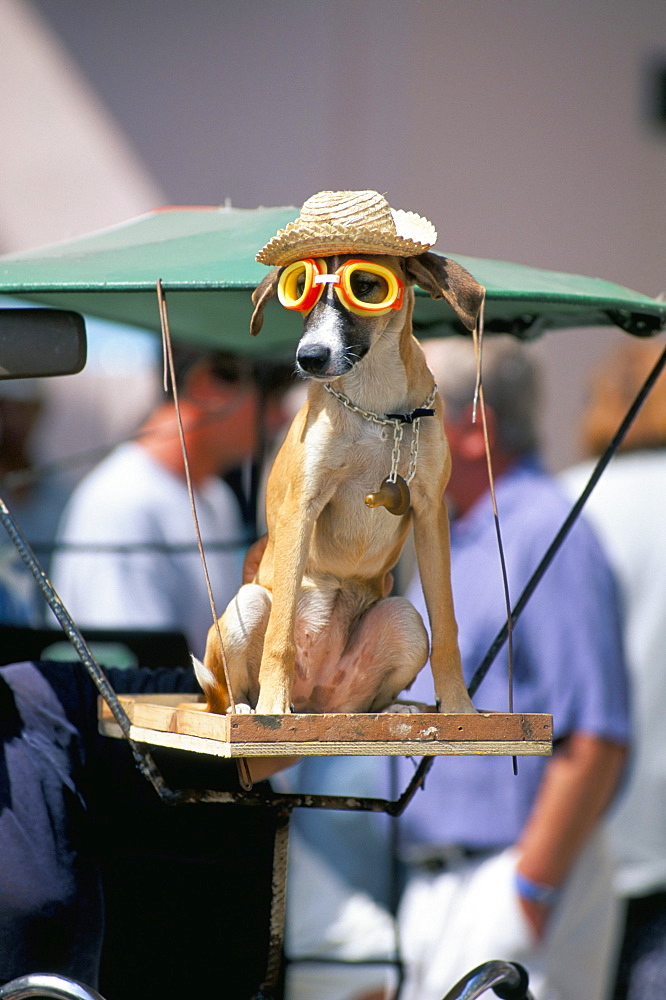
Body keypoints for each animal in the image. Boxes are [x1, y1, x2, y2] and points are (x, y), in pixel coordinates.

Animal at [192, 191, 482, 716]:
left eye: (365, 285)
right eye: (299, 288)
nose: (309, 358)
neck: (377, 409)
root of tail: (316, 700)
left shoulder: (431, 511)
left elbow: (448, 626)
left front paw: (459, 710)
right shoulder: (301, 506)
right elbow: (282, 633)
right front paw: (271, 711)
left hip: (404, 619)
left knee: (370, 698)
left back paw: (390, 709)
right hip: (246, 605)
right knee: (224, 690)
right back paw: (250, 709)